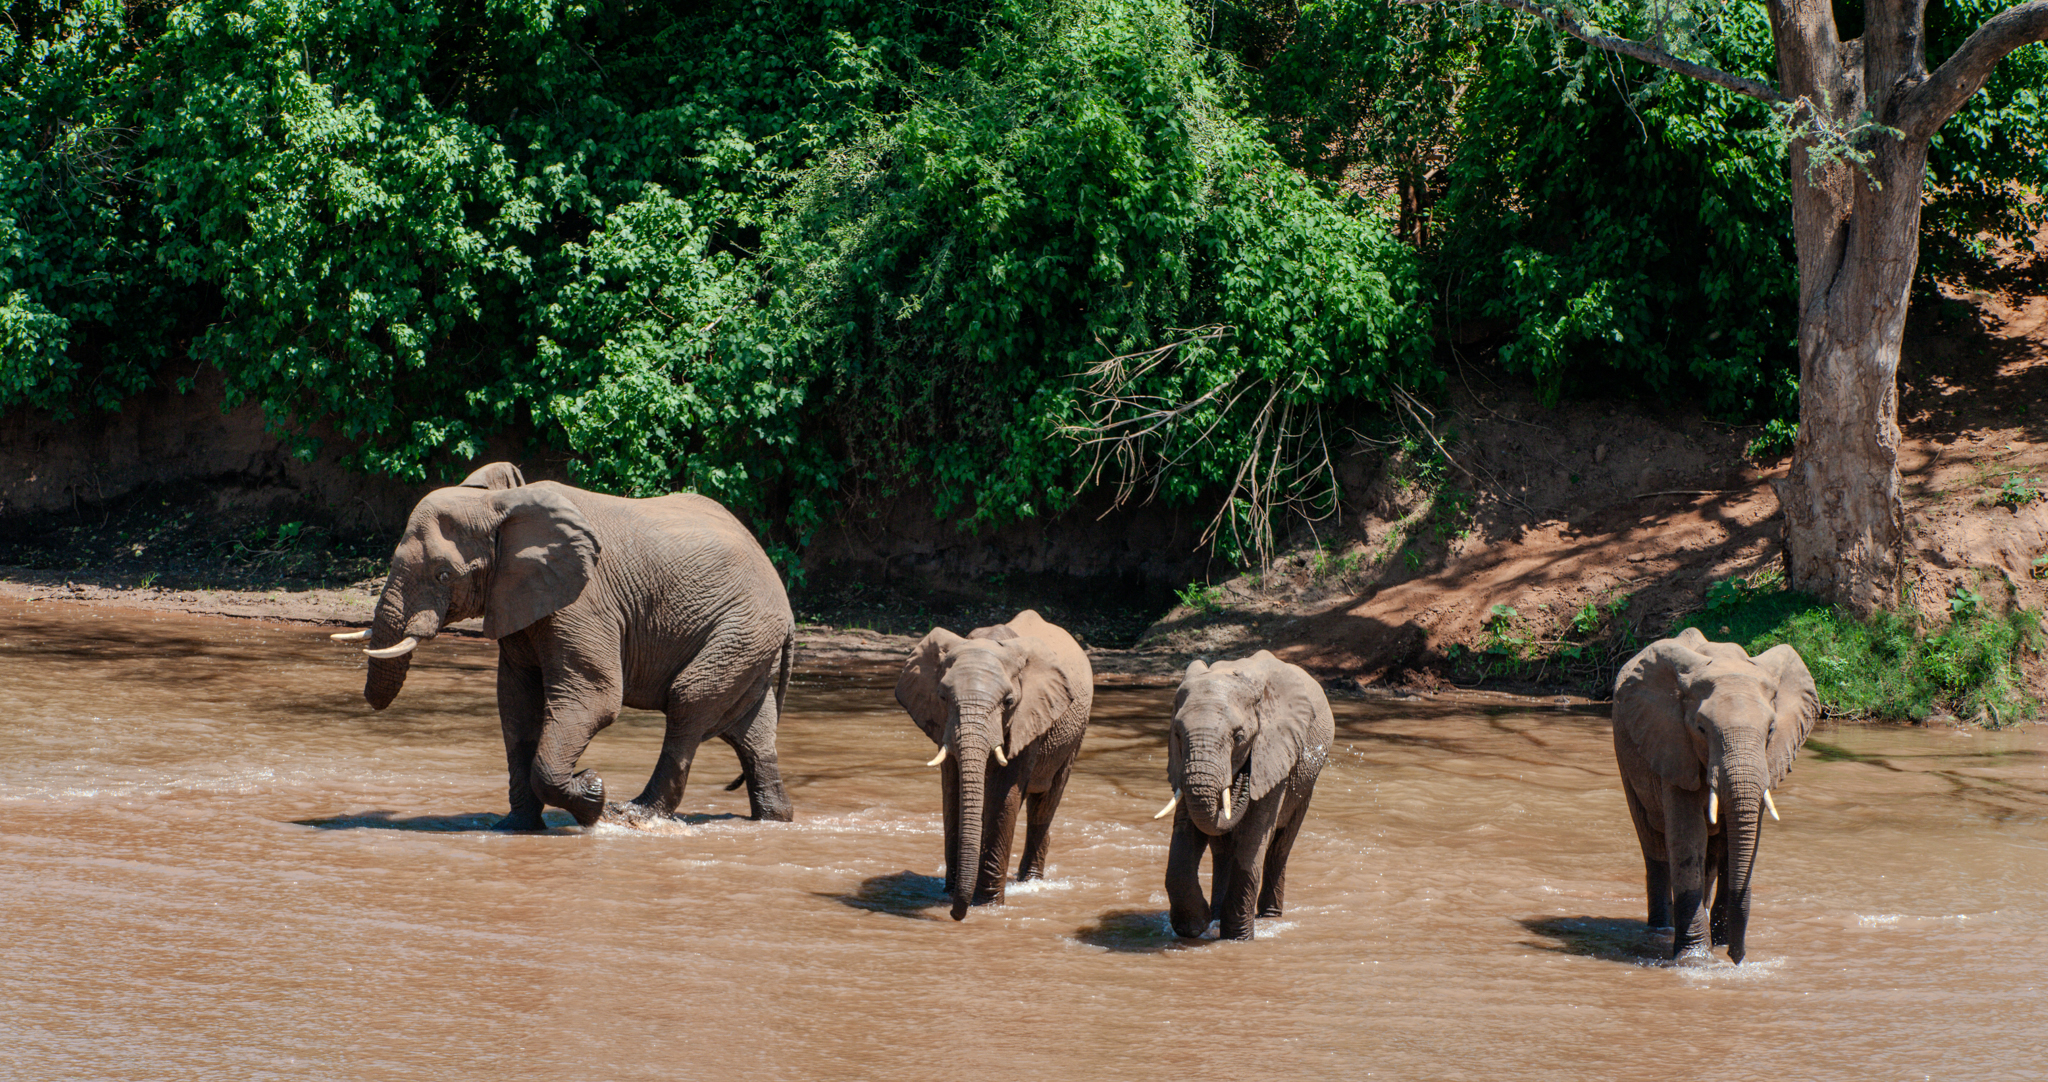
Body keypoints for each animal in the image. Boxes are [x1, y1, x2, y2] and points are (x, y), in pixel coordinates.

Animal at [331, 462, 796, 829]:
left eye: (444, 575)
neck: (499, 505)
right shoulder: (519, 603)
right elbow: (516, 704)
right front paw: (514, 828)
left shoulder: (585, 602)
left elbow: (596, 698)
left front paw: (593, 794)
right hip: (749, 639)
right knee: (750, 734)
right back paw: (775, 821)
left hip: (742, 626)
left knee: (688, 701)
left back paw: (634, 814)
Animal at [894, 610, 1092, 920]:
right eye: (942, 697)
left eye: (1009, 701)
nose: (955, 915)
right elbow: (952, 792)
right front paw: (950, 894)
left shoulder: (1029, 715)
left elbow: (1003, 795)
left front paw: (986, 906)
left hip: (1073, 734)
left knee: (1046, 801)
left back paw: (1030, 882)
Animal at [1155, 651, 1333, 941]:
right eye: (1178, 734)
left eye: (1239, 737)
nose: (1240, 778)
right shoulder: (1180, 763)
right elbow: (1187, 829)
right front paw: (1194, 927)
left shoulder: (1277, 754)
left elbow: (1254, 834)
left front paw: (1237, 939)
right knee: (1222, 850)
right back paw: (1215, 916)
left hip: (1306, 781)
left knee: (1280, 847)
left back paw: (1270, 917)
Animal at [1611, 627, 1819, 963]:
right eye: (1701, 729)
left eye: (1771, 730)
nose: (1737, 958)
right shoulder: (1672, 745)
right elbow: (1687, 836)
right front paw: (1694, 959)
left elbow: (1737, 842)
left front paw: (1719, 946)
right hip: (1626, 755)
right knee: (1654, 847)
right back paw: (1661, 930)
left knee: (1711, 855)